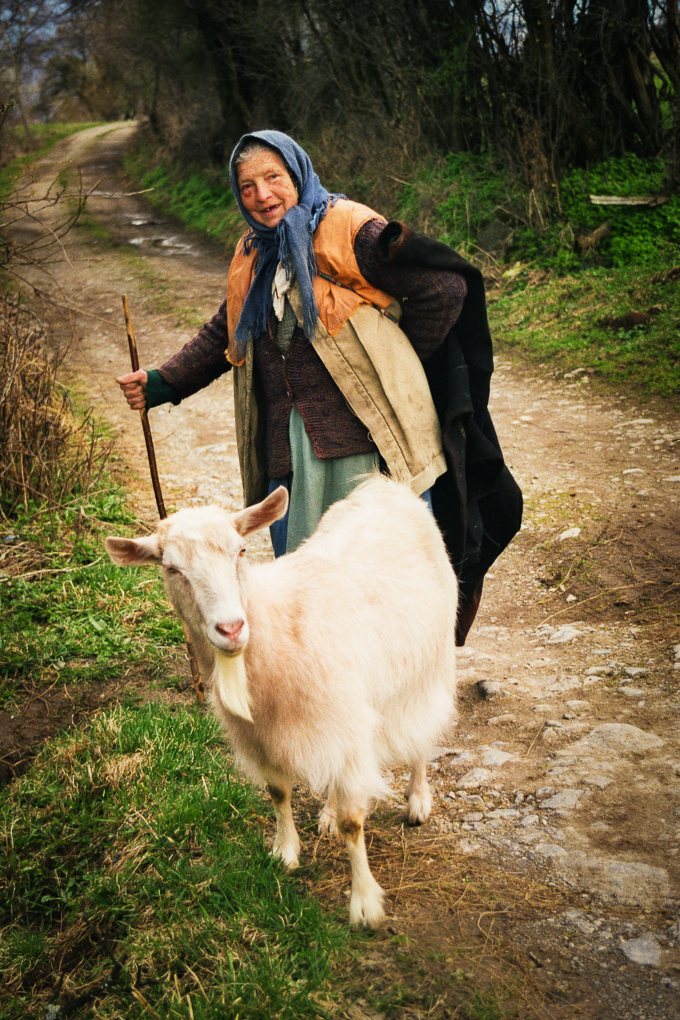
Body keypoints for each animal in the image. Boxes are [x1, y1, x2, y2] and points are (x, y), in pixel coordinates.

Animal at [106, 473, 456, 930]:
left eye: (240, 551)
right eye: (171, 569)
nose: (231, 628)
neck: (281, 626)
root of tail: (383, 485)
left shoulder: (348, 727)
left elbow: (354, 822)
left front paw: (364, 904)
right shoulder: (263, 736)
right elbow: (277, 792)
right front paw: (285, 852)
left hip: (430, 661)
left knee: (421, 732)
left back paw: (417, 799)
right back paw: (327, 813)